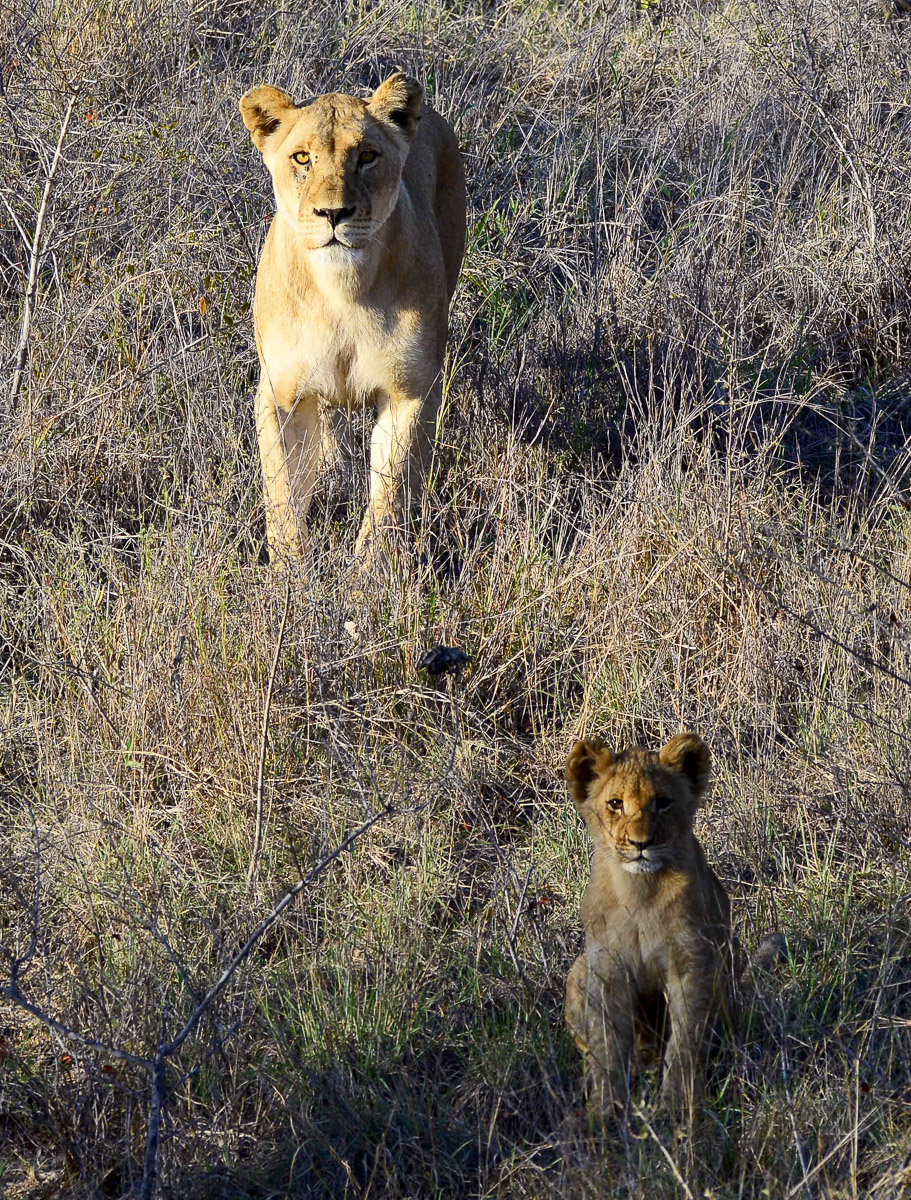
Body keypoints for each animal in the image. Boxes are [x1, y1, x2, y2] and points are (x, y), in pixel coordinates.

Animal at [239, 73, 466, 565]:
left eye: (366, 157)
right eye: (301, 157)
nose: (333, 213)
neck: (342, 291)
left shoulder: (410, 394)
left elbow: (389, 496)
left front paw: (369, 576)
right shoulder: (280, 395)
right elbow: (283, 494)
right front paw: (291, 574)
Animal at [564, 733, 736, 1118]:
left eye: (663, 803)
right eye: (615, 804)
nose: (641, 843)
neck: (640, 891)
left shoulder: (691, 960)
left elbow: (686, 1039)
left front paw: (677, 1103)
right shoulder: (606, 966)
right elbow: (607, 1044)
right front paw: (604, 1110)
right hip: (578, 969)